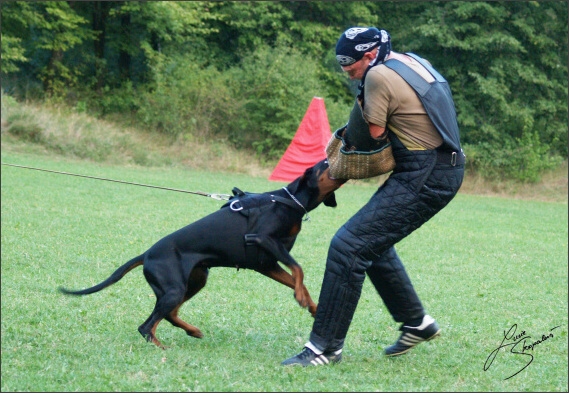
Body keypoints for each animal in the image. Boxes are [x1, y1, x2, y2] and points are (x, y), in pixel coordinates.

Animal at [60, 158, 344, 348]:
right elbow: (299, 269)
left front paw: (311, 305)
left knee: (169, 315)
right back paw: (161, 347)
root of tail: (146, 254)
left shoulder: (266, 263)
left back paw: (193, 331)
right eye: (325, 163)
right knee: (146, 326)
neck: (288, 201)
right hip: (175, 288)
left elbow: (297, 277)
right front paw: (302, 298)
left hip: (196, 279)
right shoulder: (263, 240)